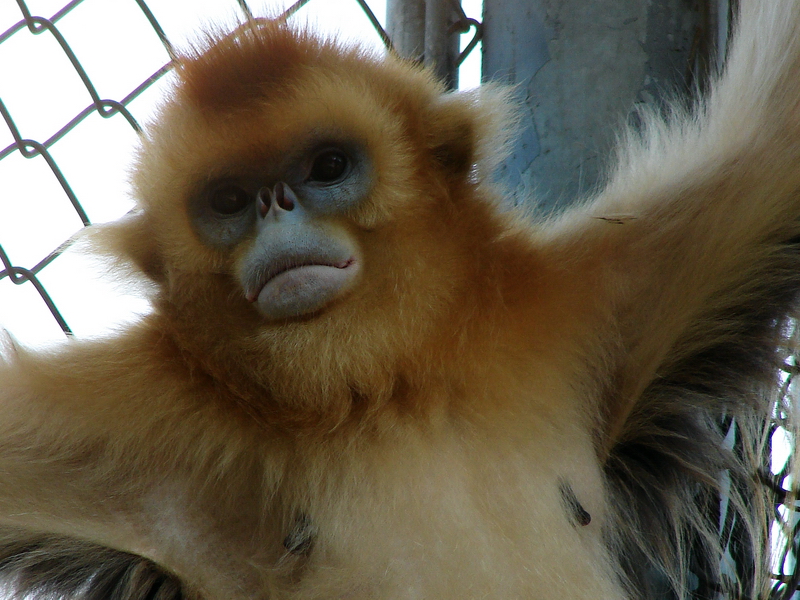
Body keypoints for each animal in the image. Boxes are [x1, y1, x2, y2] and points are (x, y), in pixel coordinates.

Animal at [0, 1, 799, 598]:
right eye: (228, 200)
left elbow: (771, 140)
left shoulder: (592, 296)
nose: (276, 208)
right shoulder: (139, 421)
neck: (388, 383)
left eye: (326, 167)